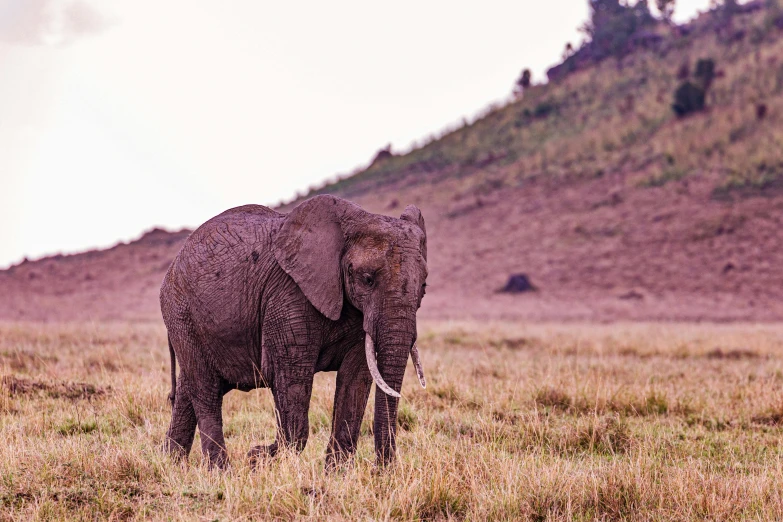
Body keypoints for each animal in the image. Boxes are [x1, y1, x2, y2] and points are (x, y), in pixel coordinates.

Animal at [159, 193, 428, 470]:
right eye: (367, 279)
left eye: (424, 286)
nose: (382, 468)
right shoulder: (288, 295)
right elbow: (291, 375)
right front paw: (257, 457)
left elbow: (355, 376)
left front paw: (336, 473)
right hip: (182, 314)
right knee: (207, 388)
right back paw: (219, 470)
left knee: (188, 389)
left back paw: (171, 463)